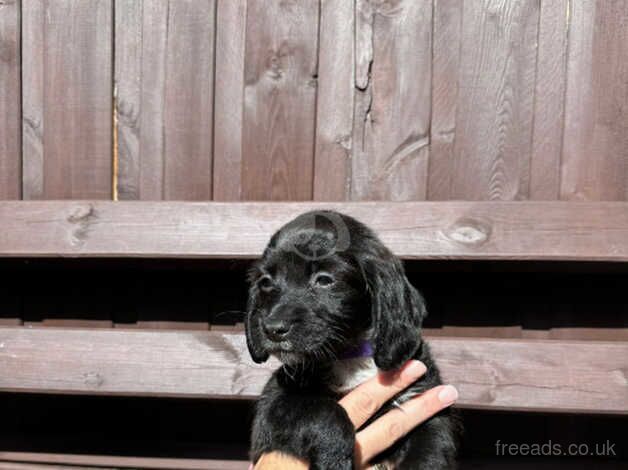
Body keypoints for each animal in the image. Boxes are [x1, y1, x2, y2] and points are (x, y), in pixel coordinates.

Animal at [247, 211, 462, 468]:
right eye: (265, 282)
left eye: (324, 280)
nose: (272, 329)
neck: (349, 358)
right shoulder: (274, 402)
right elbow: (323, 412)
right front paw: (334, 458)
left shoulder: (426, 406)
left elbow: (430, 451)